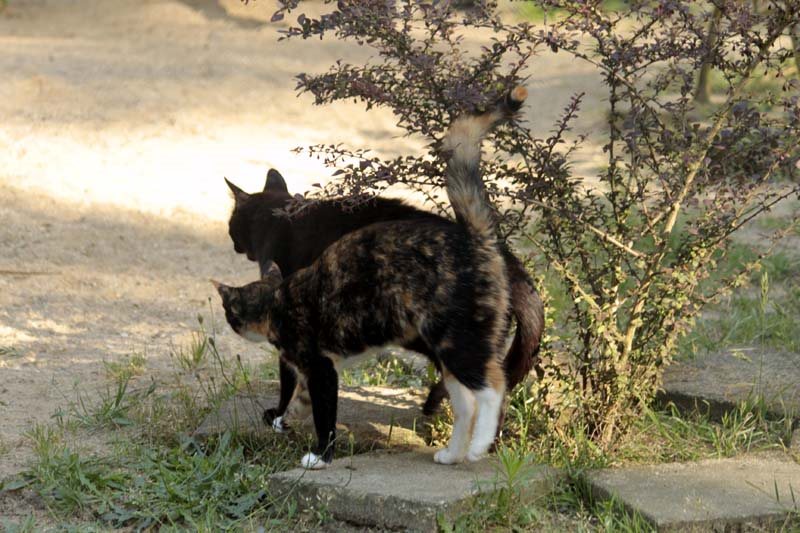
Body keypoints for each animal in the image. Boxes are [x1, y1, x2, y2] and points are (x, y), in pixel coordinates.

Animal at [214, 87, 528, 469]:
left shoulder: (313, 358)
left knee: (494, 387)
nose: (233, 242)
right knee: (468, 398)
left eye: (232, 225)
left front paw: (307, 443)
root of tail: (474, 237)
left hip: (456, 340)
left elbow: (308, 398)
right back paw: (457, 452)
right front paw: (287, 419)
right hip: (445, 344)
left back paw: (479, 445)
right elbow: (305, 398)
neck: (284, 219)